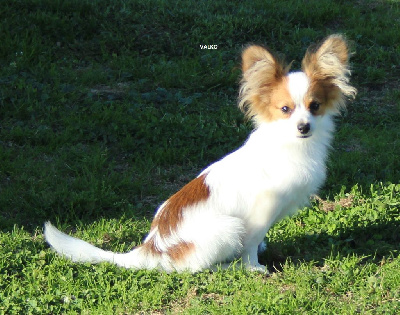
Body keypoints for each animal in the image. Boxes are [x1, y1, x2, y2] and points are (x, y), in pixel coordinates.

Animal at [43, 34, 356, 274]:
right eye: (285, 110)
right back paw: (227, 266)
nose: (304, 127)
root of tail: (150, 249)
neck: (293, 146)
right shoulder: (259, 212)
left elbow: (258, 240)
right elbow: (250, 244)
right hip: (228, 227)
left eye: (315, 106)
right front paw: (254, 267)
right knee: (193, 268)